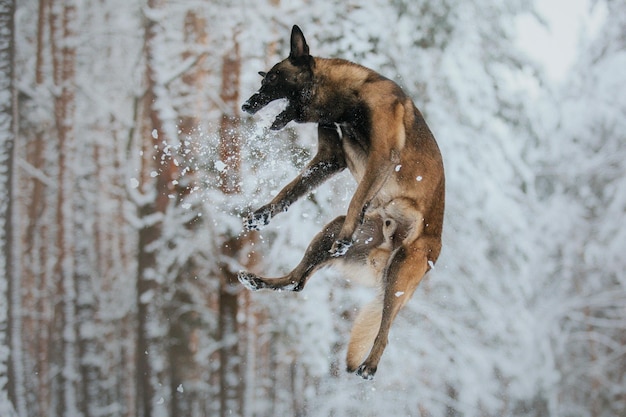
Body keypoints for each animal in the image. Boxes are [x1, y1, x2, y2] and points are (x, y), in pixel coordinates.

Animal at [235, 24, 444, 378]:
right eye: (263, 82)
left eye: (273, 79)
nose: (247, 105)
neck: (349, 99)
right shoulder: (330, 158)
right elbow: (289, 191)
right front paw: (263, 215)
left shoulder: (381, 158)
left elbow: (357, 198)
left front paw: (347, 236)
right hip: (329, 233)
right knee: (297, 283)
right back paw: (258, 279)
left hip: (400, 274)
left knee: (385, 329)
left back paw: (370, 366)